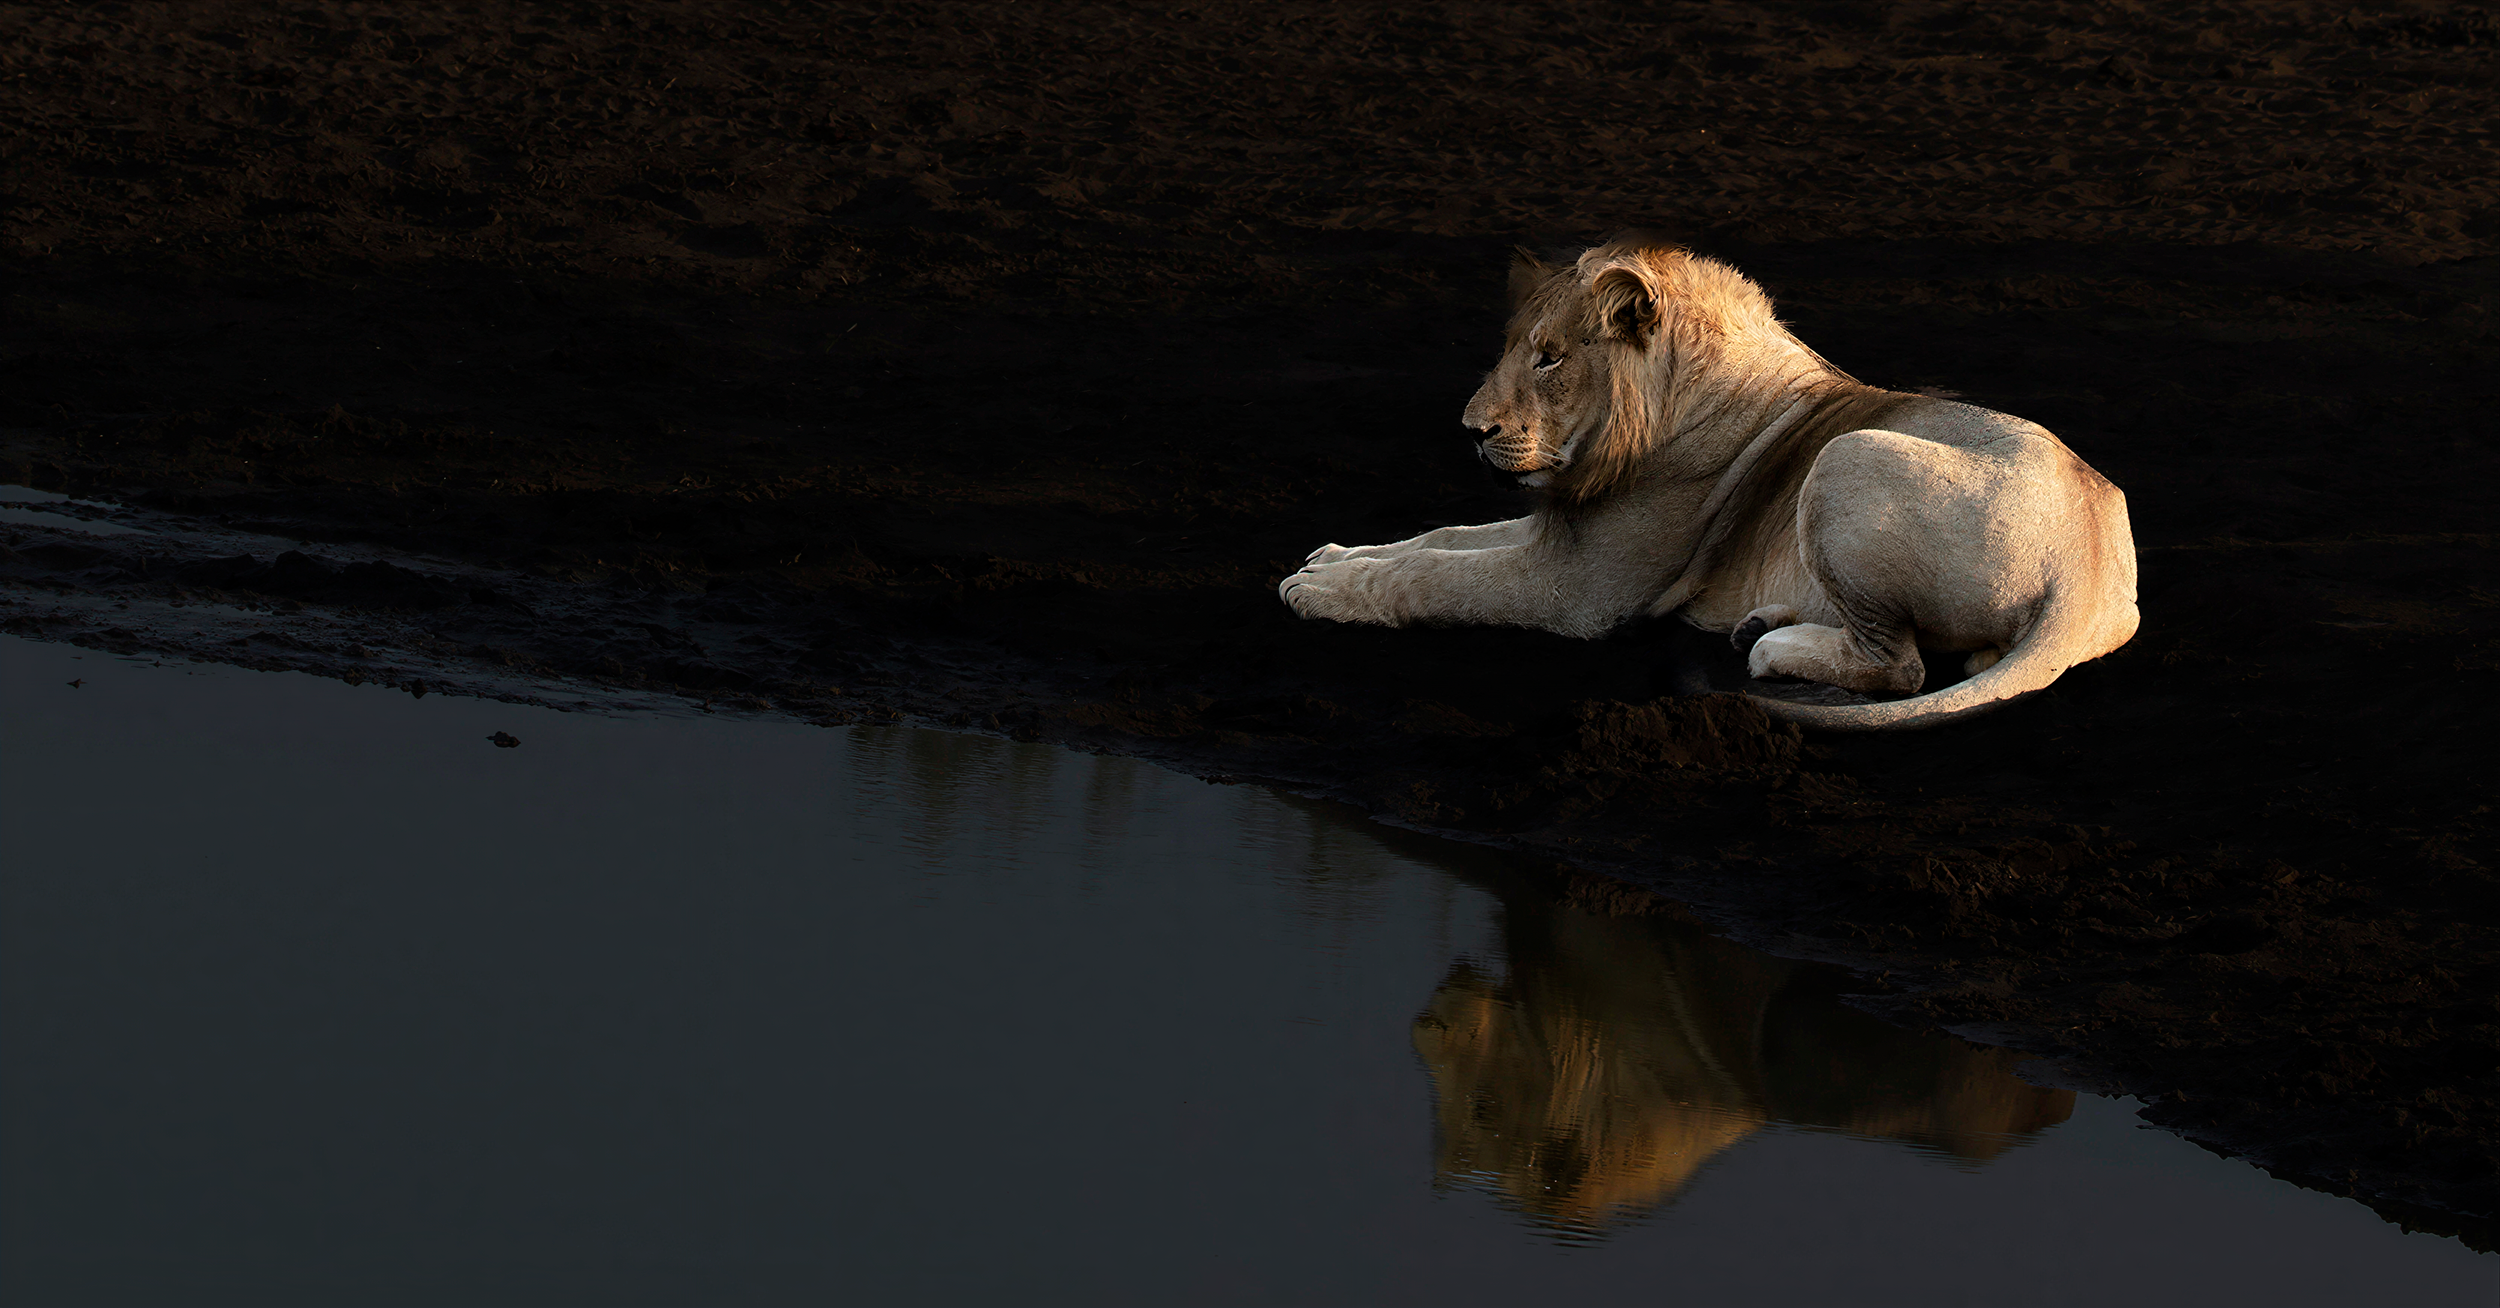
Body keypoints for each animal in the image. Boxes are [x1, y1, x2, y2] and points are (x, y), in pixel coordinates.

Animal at [1277, 235, 2140, 730]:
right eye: (1516, 349)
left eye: (1551, 357)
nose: (1471, 430)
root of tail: (2087, 570)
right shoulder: (1559, 528)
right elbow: (1440, 537)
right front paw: (1335, 557)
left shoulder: (1578, 588)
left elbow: (1435, 576)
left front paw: (1323, 592)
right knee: (1948, 661)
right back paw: (1768, 620)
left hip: (1846, 457)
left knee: (1900, 666)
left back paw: (1774, 645)